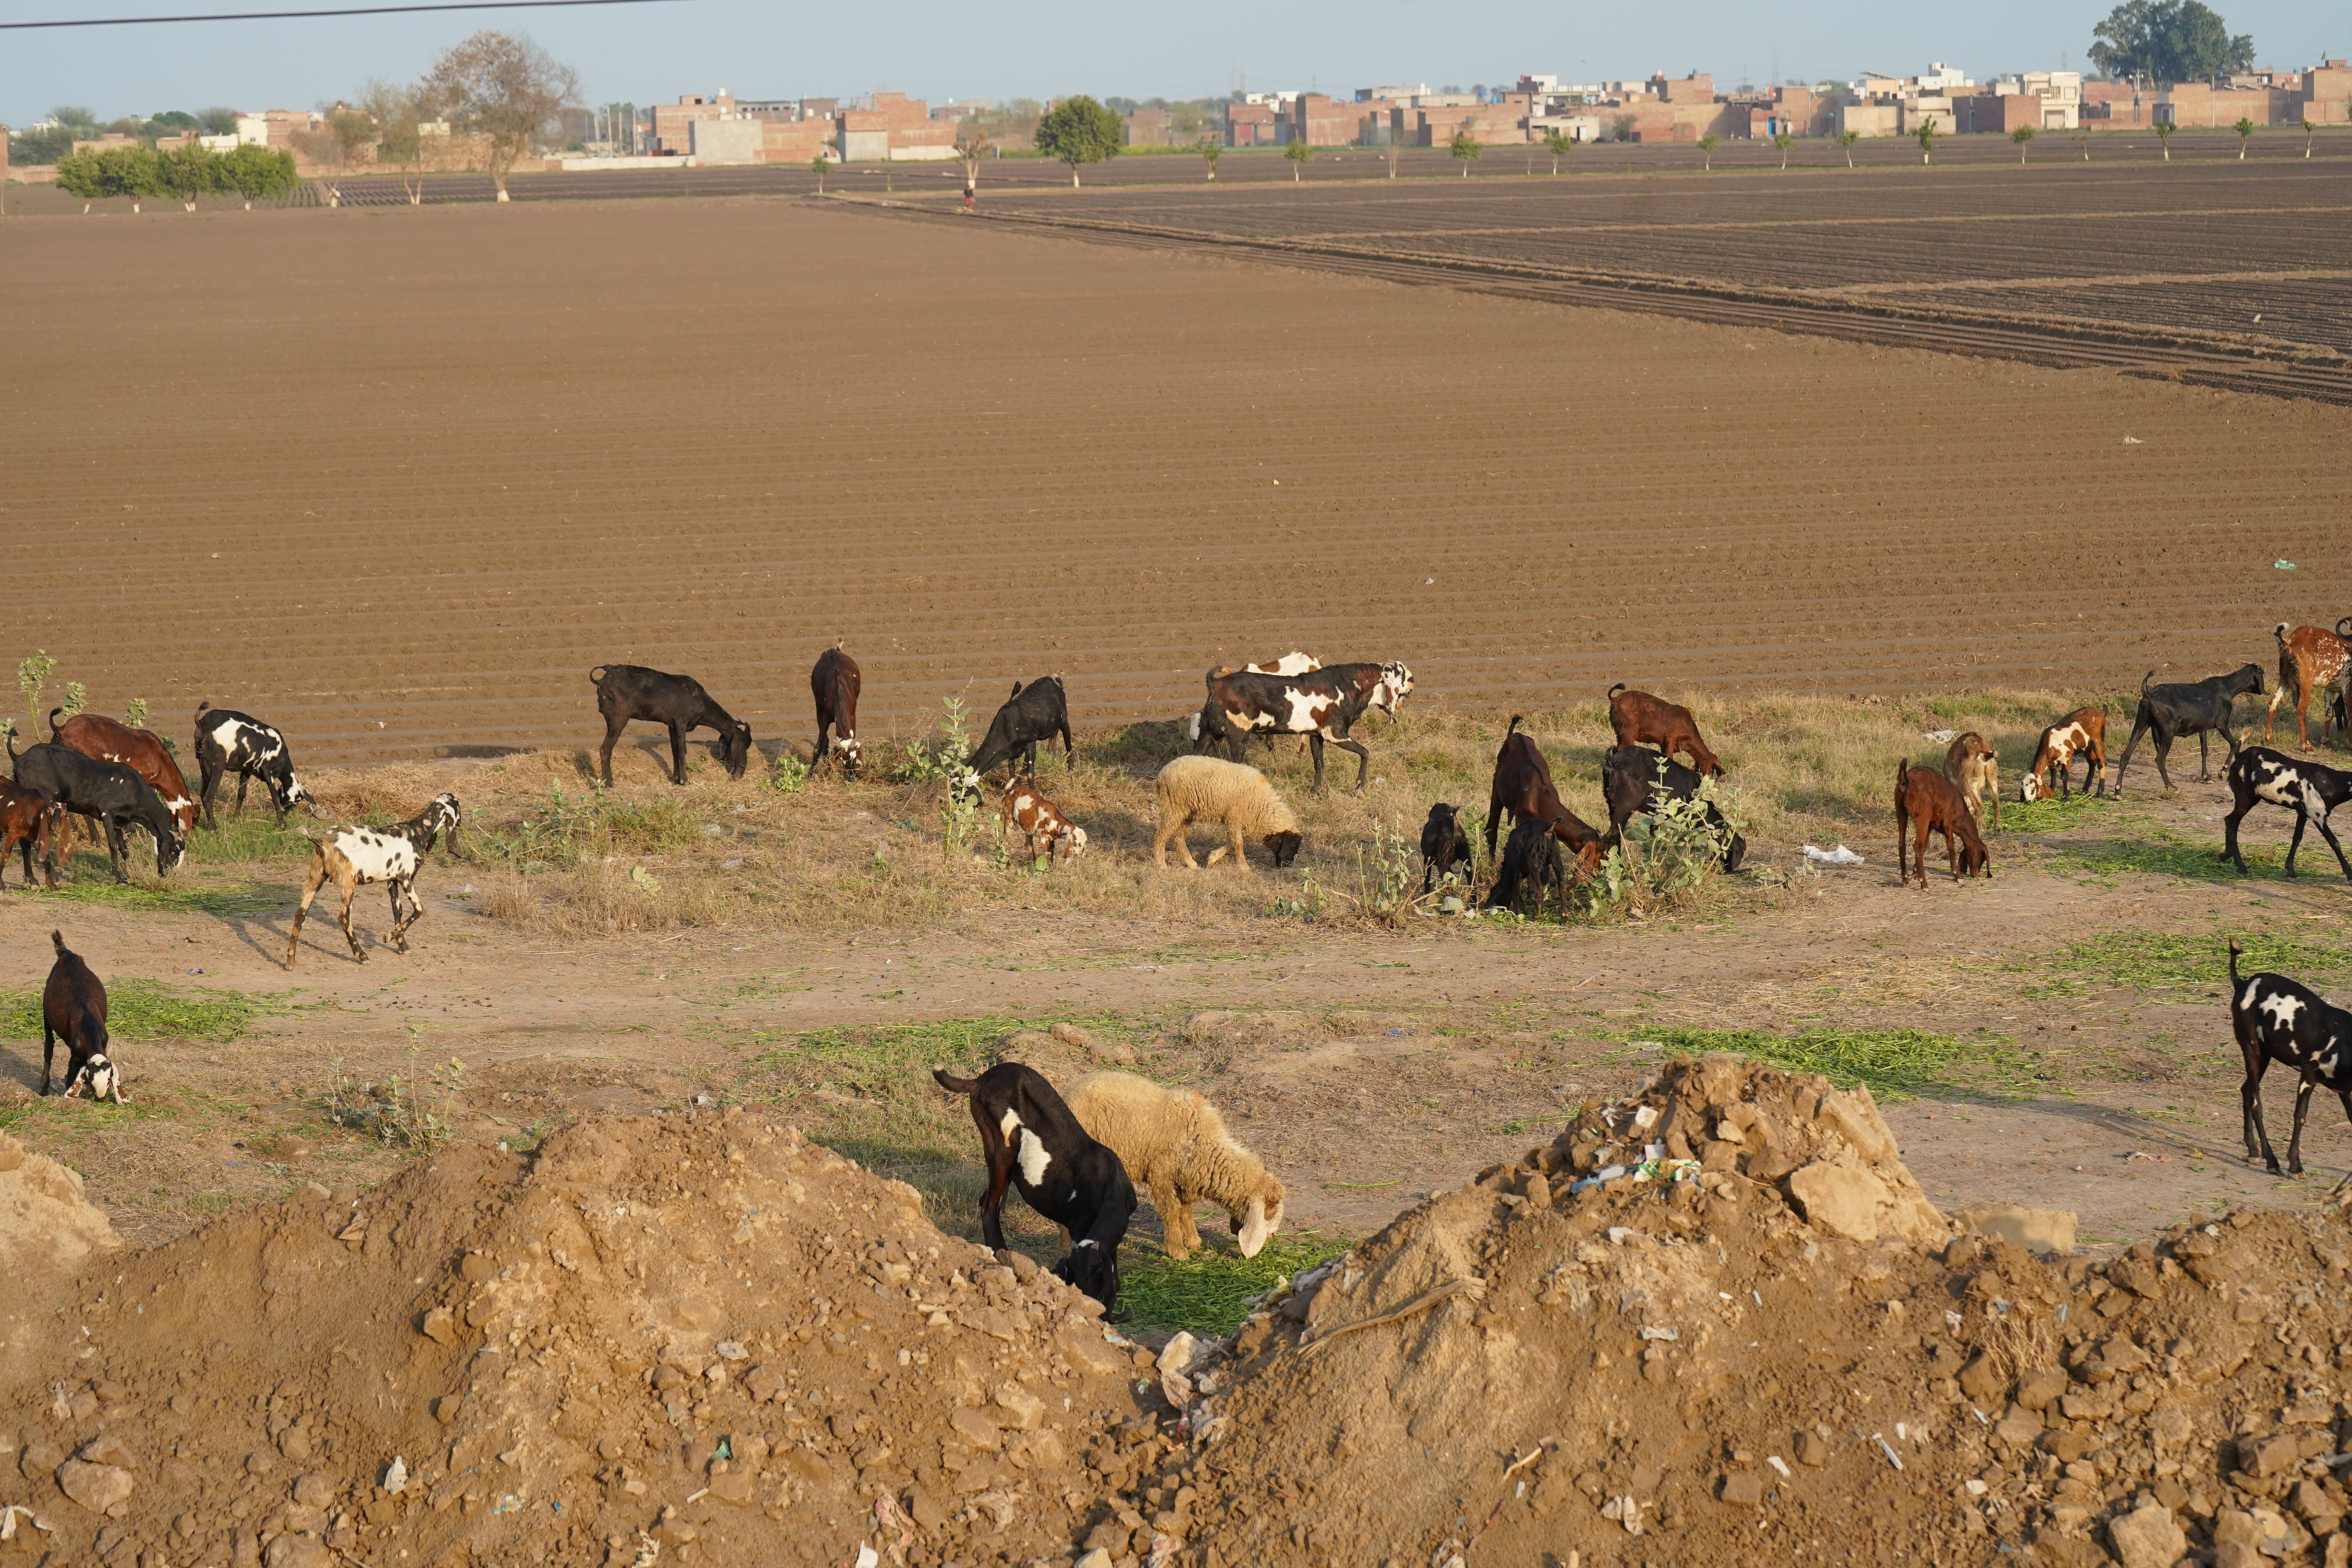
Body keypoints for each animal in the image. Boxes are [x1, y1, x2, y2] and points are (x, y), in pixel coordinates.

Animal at [1062, 1070, 1286, 1261]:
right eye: (1270, 1208)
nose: (1274, 1234)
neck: (1204, 1143)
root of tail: (1069, 1090)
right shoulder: (1162, 1175)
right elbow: (1170, 1211)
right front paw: (1177, 1251)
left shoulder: (1185, 1177)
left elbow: (1185, 1209)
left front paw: (1193, 1241)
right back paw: (1067, 1249)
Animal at [1152, 755, 1301, 870]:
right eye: (1293, 845)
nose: (1287, 865)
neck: (1262, 805)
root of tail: (1163, 773)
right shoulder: (1234, 817)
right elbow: (1239, 843)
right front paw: (1244, 867)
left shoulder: (1238, 820)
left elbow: (1233, 842)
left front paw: (1212, 859)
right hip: (1175, 806)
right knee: (1162, 834)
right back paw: (1161, 864)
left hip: (1186, 812)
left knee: (1178, 837)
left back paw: (1191, 864)